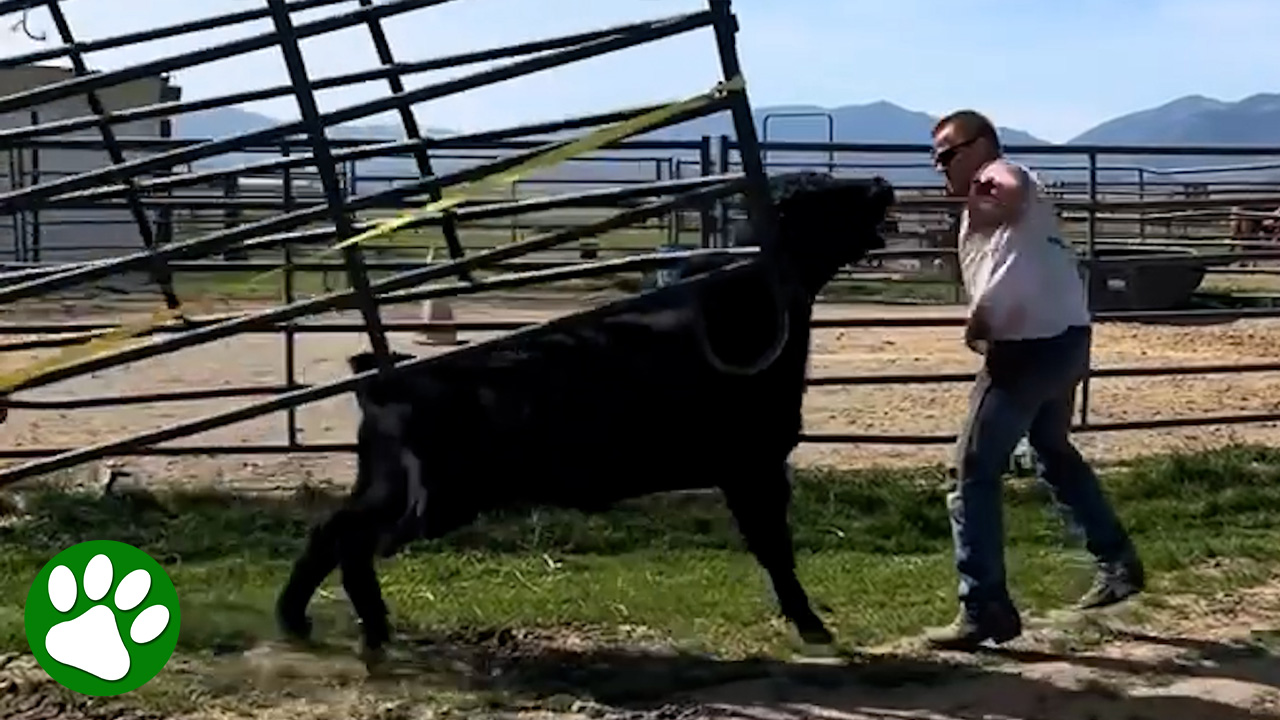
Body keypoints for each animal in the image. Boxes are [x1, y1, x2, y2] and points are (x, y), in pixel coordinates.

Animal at [273, 171, 897, 668]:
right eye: (821, 190)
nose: (880, 183)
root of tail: (379, 378)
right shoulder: (753, 466)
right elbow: (775, 549)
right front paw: (814, 628)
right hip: (433, 496)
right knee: (349, 539)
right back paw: (368, 630)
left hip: (394, 485)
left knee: (330, 530)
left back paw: (304, 622)